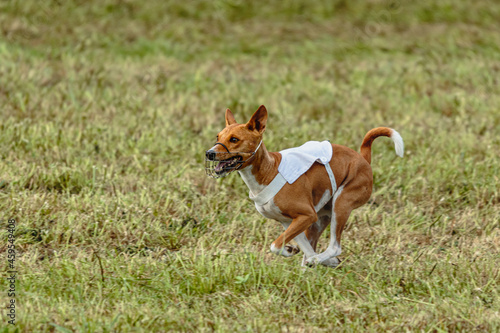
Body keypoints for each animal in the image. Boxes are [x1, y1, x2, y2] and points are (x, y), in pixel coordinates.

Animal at [205, 105, 404, 266]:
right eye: (218, 136)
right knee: (314, 247)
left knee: (335, 246)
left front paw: (295, 252)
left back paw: (320, 259)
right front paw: (296, 251)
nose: (209, 153)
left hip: (341, 204)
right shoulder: (289, 221)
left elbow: (275, 245)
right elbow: (301, 247)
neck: (268, 172)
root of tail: (363, 158)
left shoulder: (307, 215)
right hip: (322, 217)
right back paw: (320, 262)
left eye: (234, 139)